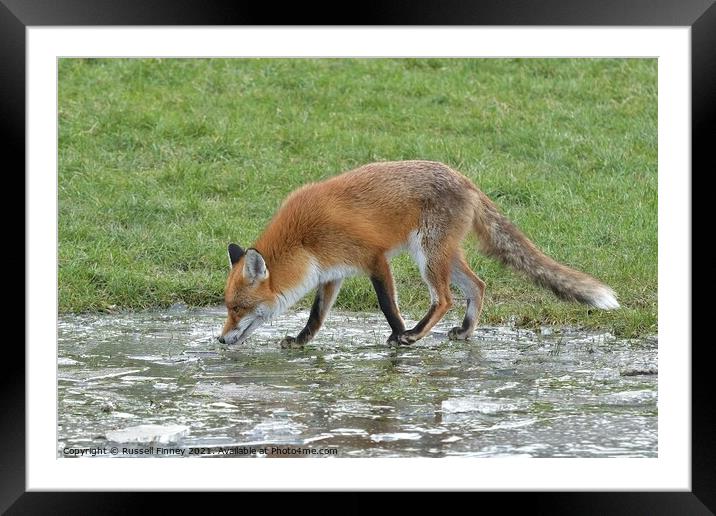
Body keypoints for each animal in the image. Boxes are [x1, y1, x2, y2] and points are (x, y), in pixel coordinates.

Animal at [217, 161, 616, 346]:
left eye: (237, 309)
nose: (220, 339)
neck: (304, 241)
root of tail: (465, 179)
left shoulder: (374, 258)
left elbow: (387, 305)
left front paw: (398, 335)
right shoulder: (332, 273)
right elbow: (316, 314)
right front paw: (301, 340)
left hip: (428, 256)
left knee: (445, 298)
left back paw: (415, 333)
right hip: (443, 254)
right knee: (478, 285)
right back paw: (466, 331)